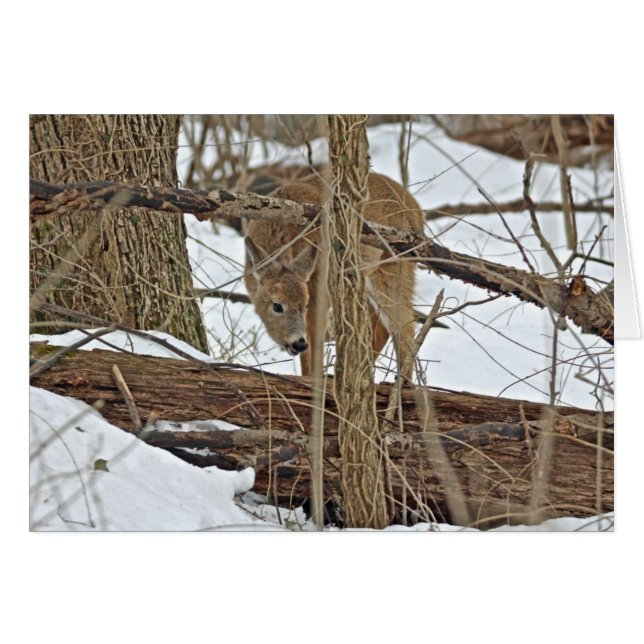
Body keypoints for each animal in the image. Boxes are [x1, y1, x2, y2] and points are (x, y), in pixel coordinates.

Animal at [244, 171, 425, 380]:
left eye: (304, 304)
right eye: (277, 306)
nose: (298, 343)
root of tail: (417, 209)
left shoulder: (320, 293)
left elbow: (315, 345)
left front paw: (313, 381)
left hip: (395, 270)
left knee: (405, 328)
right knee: (380, 328)